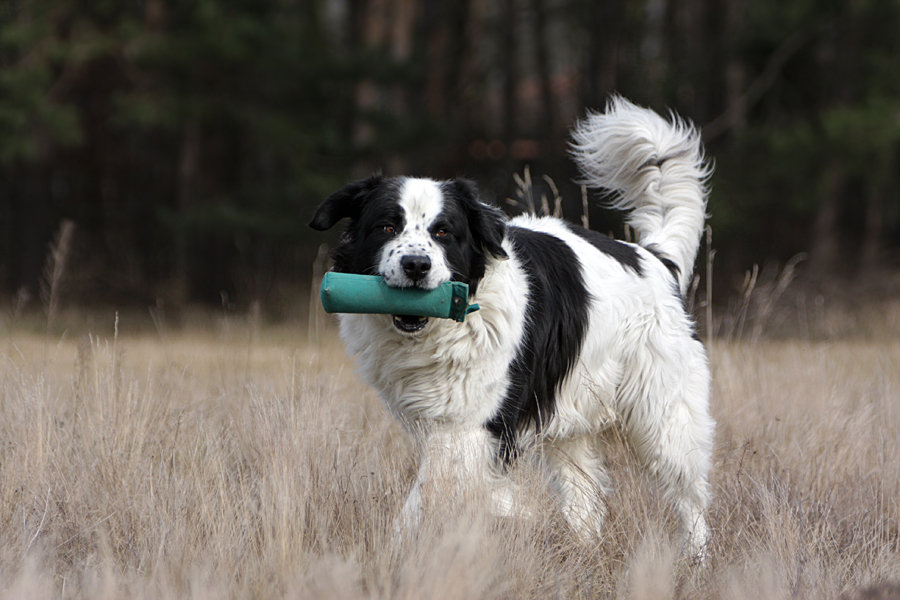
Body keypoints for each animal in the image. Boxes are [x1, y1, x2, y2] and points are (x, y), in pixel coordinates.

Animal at [312, 95, 712, 556]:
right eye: (387, 226)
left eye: (444, 232)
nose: (416, 265)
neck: (451, 323)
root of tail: (655, 258)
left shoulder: (475, 426)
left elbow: (429, 496)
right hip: (571, 419)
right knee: (585, 496)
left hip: (663, 417)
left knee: (689, 495)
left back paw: (696, 557)